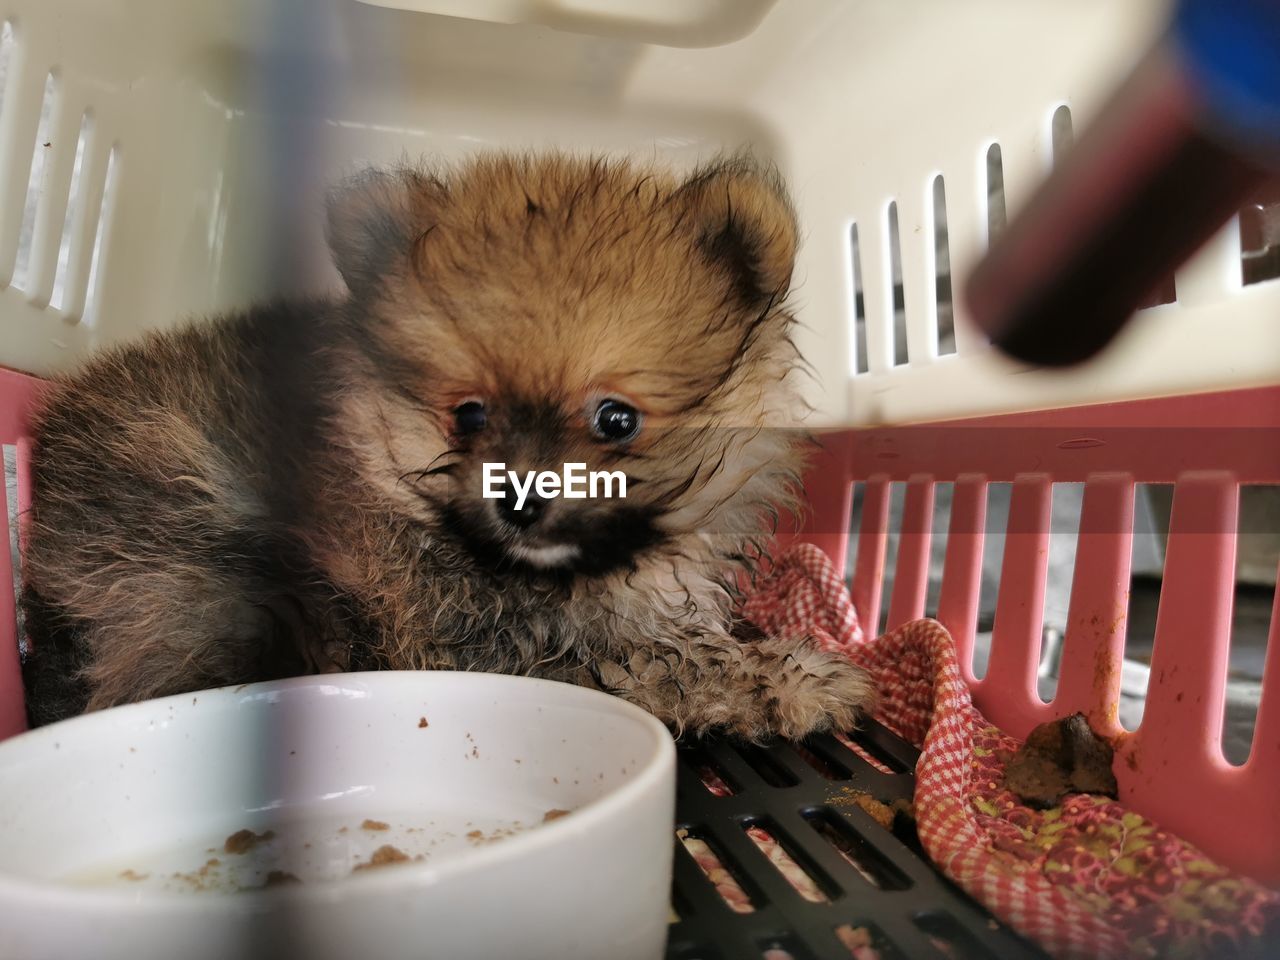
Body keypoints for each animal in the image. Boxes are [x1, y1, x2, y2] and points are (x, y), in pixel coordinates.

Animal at [20, 154, 875, 742]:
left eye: (617, 419)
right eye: (468, 414)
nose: (521, 498)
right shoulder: (477, 643)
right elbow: (655, 658)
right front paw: (795, 678)